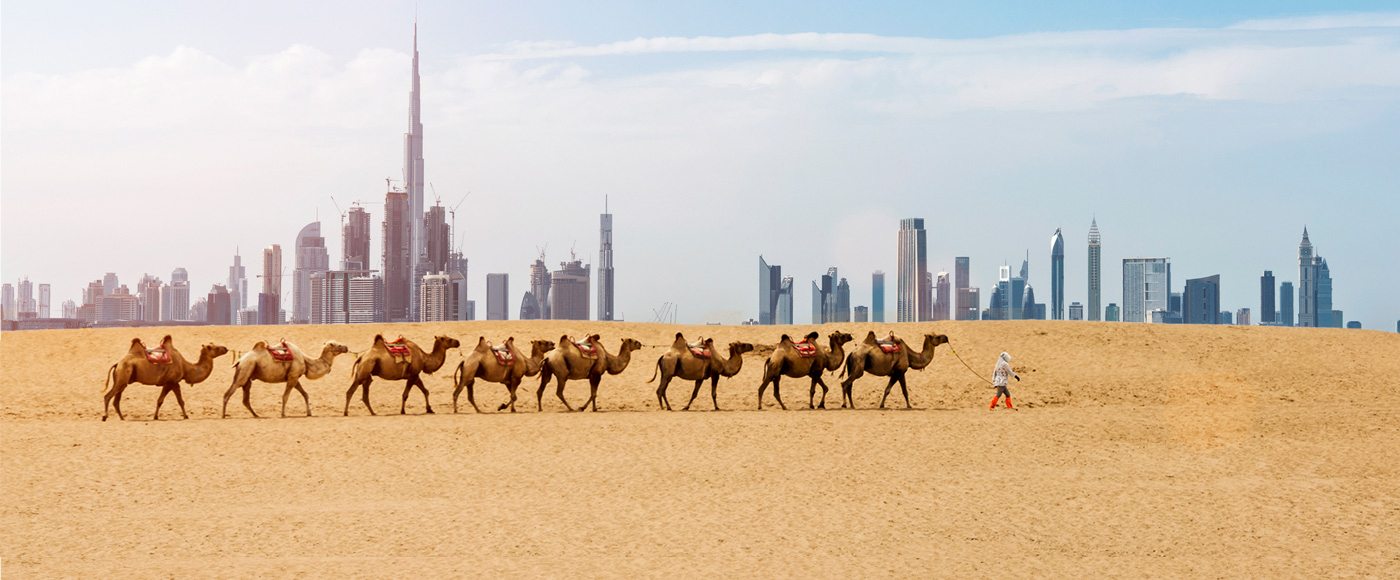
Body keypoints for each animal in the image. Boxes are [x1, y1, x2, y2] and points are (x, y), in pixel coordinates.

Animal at [221, 340, 350, 417]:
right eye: (338, 345)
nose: (346, 347)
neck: (305, 360)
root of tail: (240, 360)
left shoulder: (294, 378)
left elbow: (305, 394)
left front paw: (309, 413)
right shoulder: (292, 377)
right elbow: (285, 396)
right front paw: (283, 414)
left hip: (248, 376)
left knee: (245, 399)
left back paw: (256, 415)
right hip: (245, 369)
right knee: (228, 393)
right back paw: (223, 415)